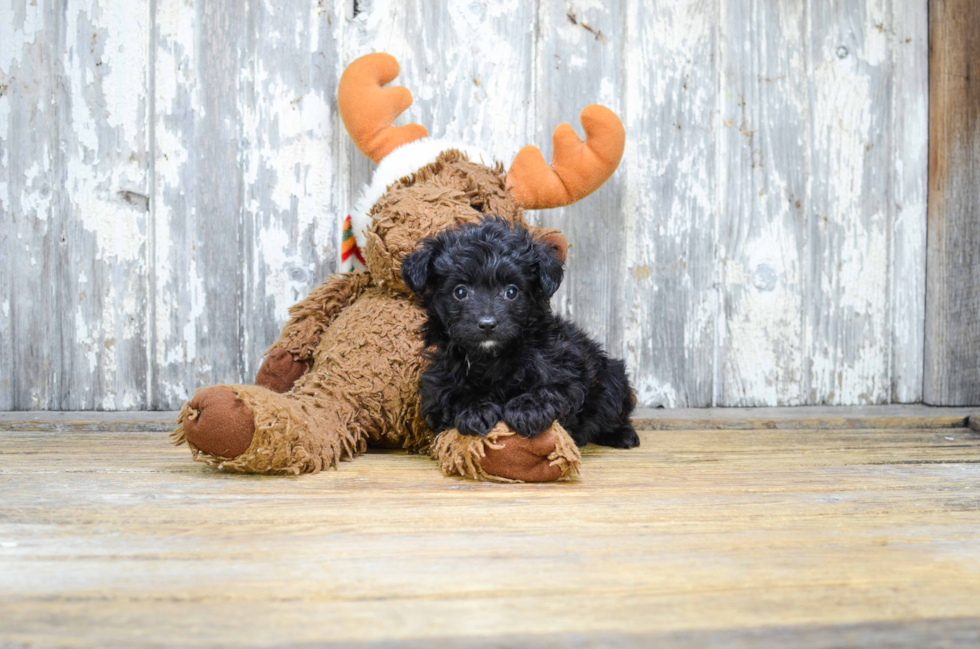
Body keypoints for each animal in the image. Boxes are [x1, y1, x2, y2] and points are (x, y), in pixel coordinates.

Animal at [400, 215, 640, 448]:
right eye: (460, 292)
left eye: (511, 291)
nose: (487, 324)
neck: (492, 357)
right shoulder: (438, 383)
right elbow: (453, 394)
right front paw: (475, 410)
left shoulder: (568, 368)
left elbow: (550, 388)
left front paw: (527, 410)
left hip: (612, 378)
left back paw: (623, 435)